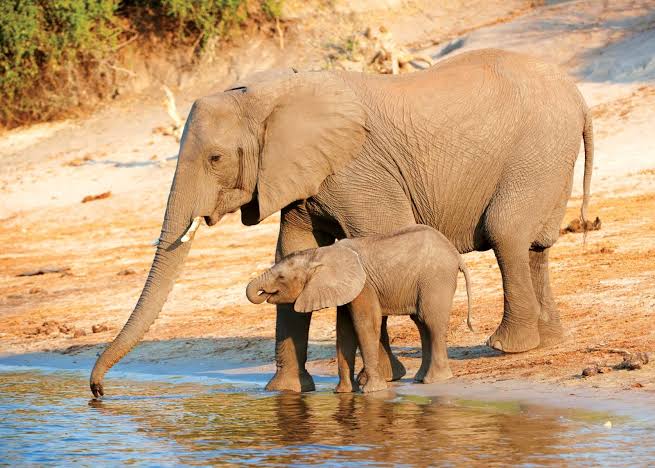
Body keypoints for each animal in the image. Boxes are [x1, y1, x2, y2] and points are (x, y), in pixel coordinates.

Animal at [246, 225, 473, 393]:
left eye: (281, 277)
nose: (262, 292)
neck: (319, 254)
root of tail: (455, 254)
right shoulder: (347, 288)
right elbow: (344, 331)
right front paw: (344, 392)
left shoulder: (364, 286)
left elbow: (365, 324)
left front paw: (372, 391)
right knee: (421, 323)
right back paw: (420, 378)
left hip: (436, 279)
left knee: (430, 321)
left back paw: (435, 380)